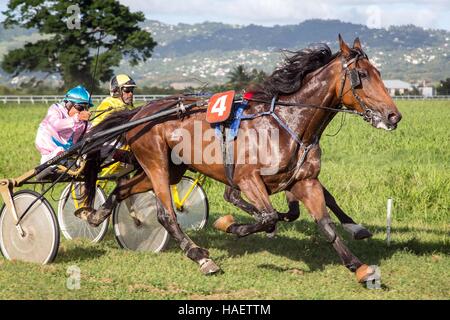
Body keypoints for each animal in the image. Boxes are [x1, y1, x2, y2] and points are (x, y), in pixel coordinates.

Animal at [76, 35, 400, 282]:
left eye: (379, 73)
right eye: (361, 76)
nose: (393, 115)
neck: (287, 123)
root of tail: (141, 112)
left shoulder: (305, 180)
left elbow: (325, 224)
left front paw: (358, 266)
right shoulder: (248, 179)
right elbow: (267, 217)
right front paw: (231, 225)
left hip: (171, 169)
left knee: (122, 188)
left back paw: (97, 214)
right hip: (155, 163)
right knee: (166, 214)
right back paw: (200, 256)